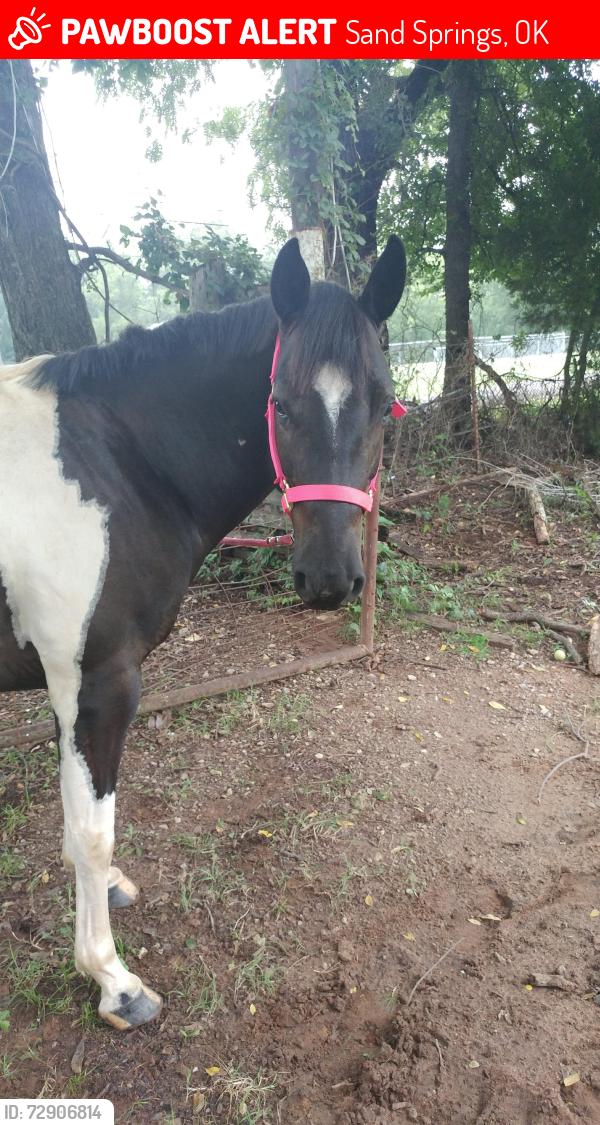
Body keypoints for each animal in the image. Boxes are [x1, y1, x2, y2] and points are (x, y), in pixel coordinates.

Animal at [0, 234, 406, 1029]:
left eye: (382, 404)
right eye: (280, 403)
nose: (329, 578)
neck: (110, 464)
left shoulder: (66, 688)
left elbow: (74, 814)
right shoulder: (99, 683)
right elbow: (94, 831)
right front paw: (112, 979)